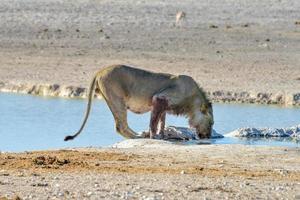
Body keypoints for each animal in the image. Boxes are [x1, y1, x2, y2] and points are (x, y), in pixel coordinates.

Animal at [63, 65, 213, 141]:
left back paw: (139, 134)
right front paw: (155, 136)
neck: (193, 100)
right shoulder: (159, 98)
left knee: (123, 124)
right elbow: (154, 121)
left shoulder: (163, 104)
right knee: (120, 126)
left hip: (114, 101)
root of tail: (100, 71)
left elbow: (161, 121)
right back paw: (137, 136)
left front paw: (162, 135)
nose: (209, 136)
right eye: (211, 123)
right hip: (117, 99)